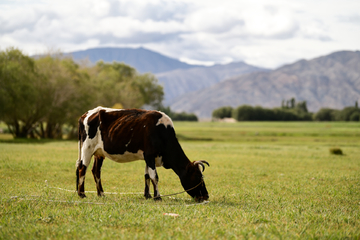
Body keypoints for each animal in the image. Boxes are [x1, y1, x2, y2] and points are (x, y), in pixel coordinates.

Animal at [76, 106, 211, 202]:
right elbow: (154, 176)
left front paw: (148, 196)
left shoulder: (148, 156)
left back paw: (101, 194)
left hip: (99, 153)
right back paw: (82, 194)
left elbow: (147, 175)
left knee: (95, 170)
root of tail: (86, 114)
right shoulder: (150, 155)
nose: (206, 196)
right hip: (87, 148)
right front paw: (158, 197)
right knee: (82, 168)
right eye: (198, 177)